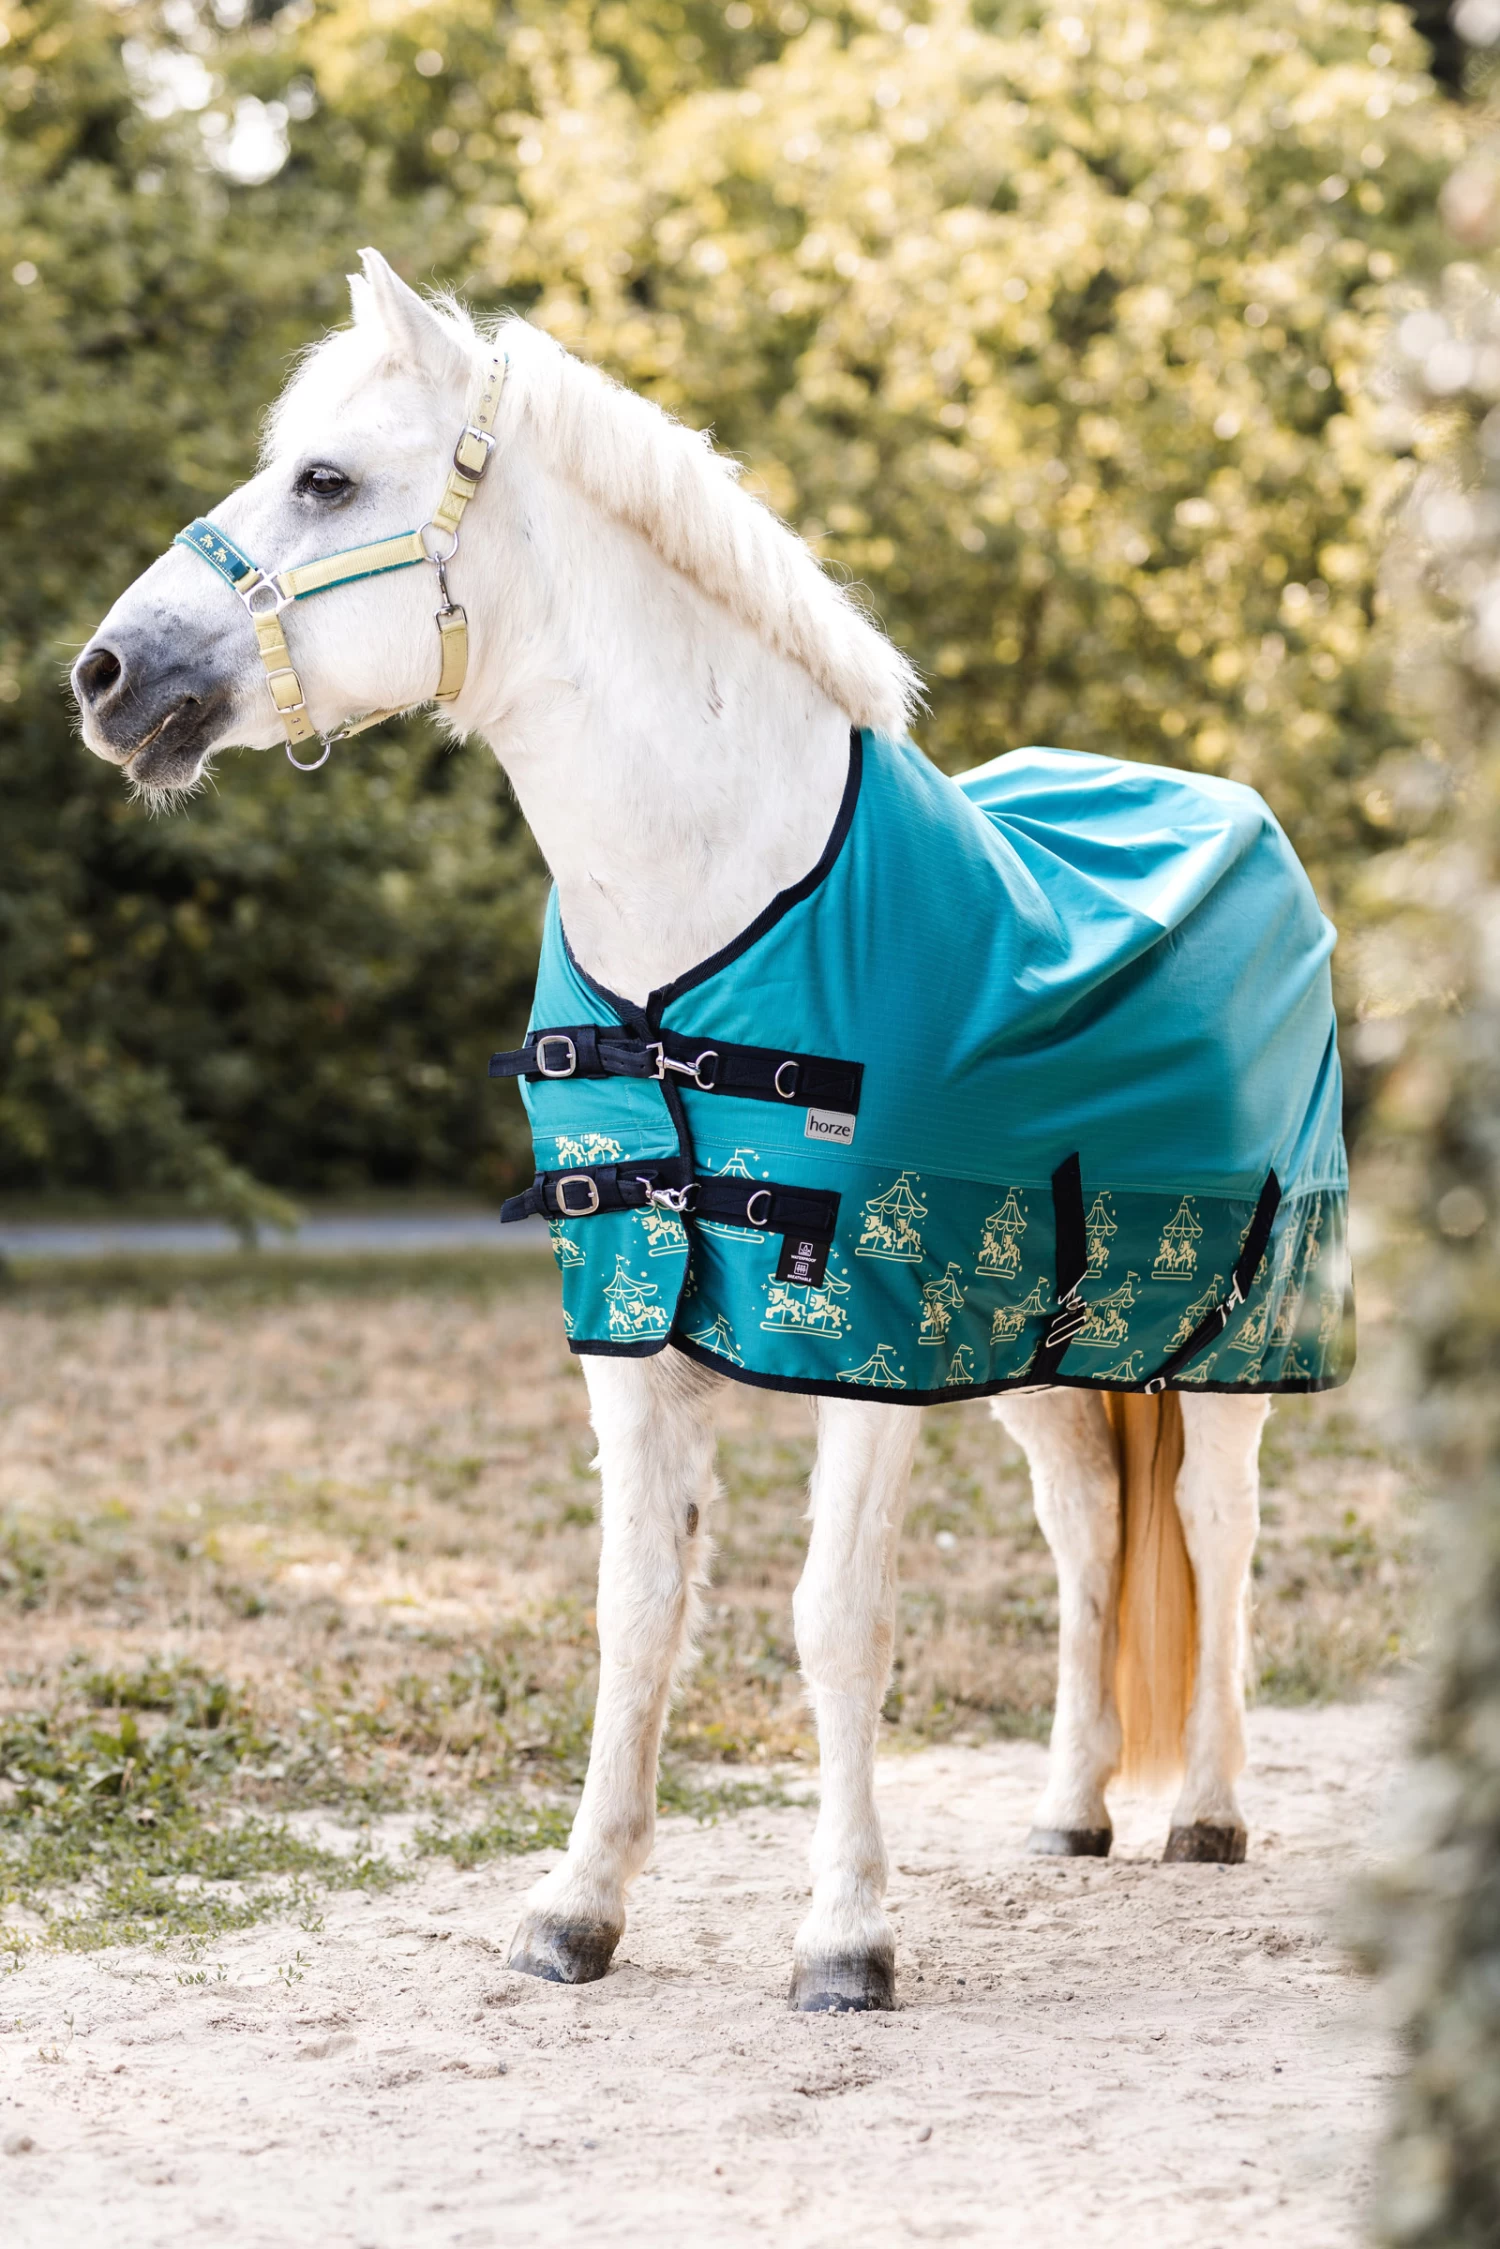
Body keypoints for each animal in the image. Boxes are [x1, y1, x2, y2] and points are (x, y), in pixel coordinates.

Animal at [70, 249, 1348, 2013]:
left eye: (326, 481)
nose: (107, 677)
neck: (715, 904)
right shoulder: (634, 1327)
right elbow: (636, 1612)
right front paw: (576, 1908)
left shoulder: (867, 1338)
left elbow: (834, 1619)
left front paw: (848, 1937)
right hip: (1040, 1350)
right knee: (1090, 1536)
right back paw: (1074, 1809)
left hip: (1225, 1336)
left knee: (1217, 1533)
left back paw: (1210, 1812)